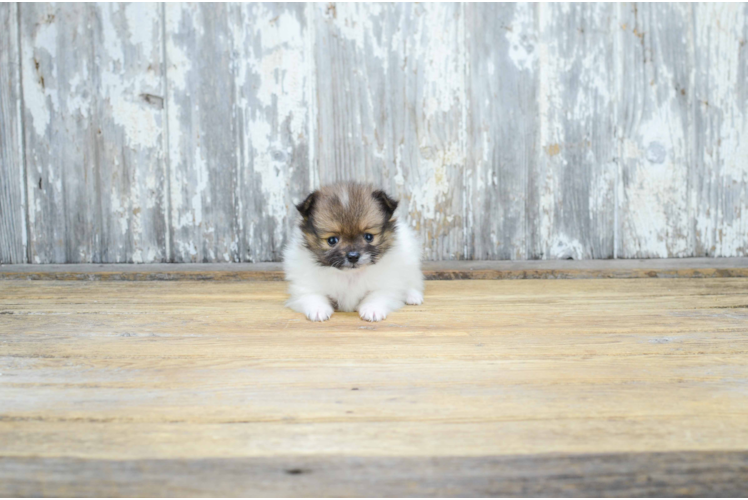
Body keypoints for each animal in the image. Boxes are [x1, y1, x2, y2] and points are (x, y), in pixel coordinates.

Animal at [284, 182, 424, 322]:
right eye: (332, 240)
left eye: (368, 237)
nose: (353, 256)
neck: (350, 275)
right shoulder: (306, 286)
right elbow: (313, 296)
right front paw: (318, 310)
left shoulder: (387, 284)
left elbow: (378, 295)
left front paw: (372, 309)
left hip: (409, 262)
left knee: (412, 280)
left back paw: (413, 296)